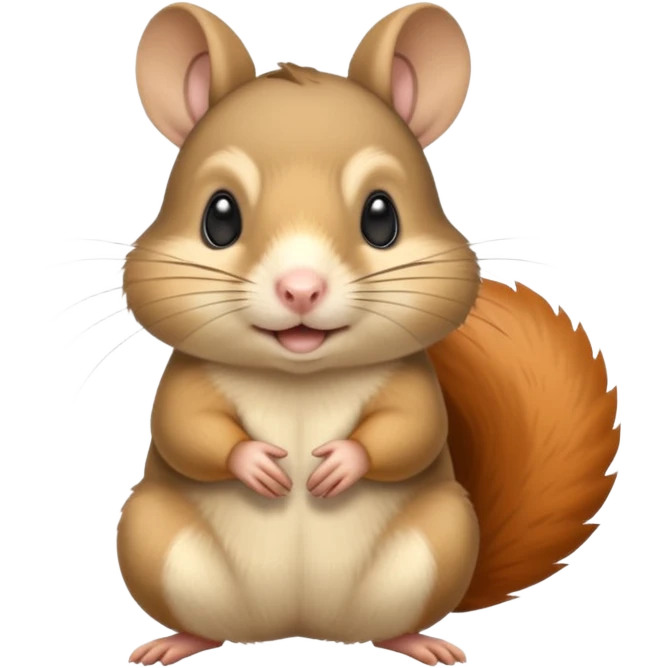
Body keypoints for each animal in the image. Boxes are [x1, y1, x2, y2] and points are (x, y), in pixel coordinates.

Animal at [115, 3, 621, 667]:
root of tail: (298, 627)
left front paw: (339, 466)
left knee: (395, 623)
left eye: (382, 217)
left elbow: (412, 429)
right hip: (149, 534)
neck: (301, 379)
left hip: (442, 538)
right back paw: (177, 640)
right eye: (218, 218)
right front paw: (258, 465)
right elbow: (185, 430)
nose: (300, 289)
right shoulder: (188, 379)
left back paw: (419, 641)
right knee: (203, 620)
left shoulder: (411, 381)